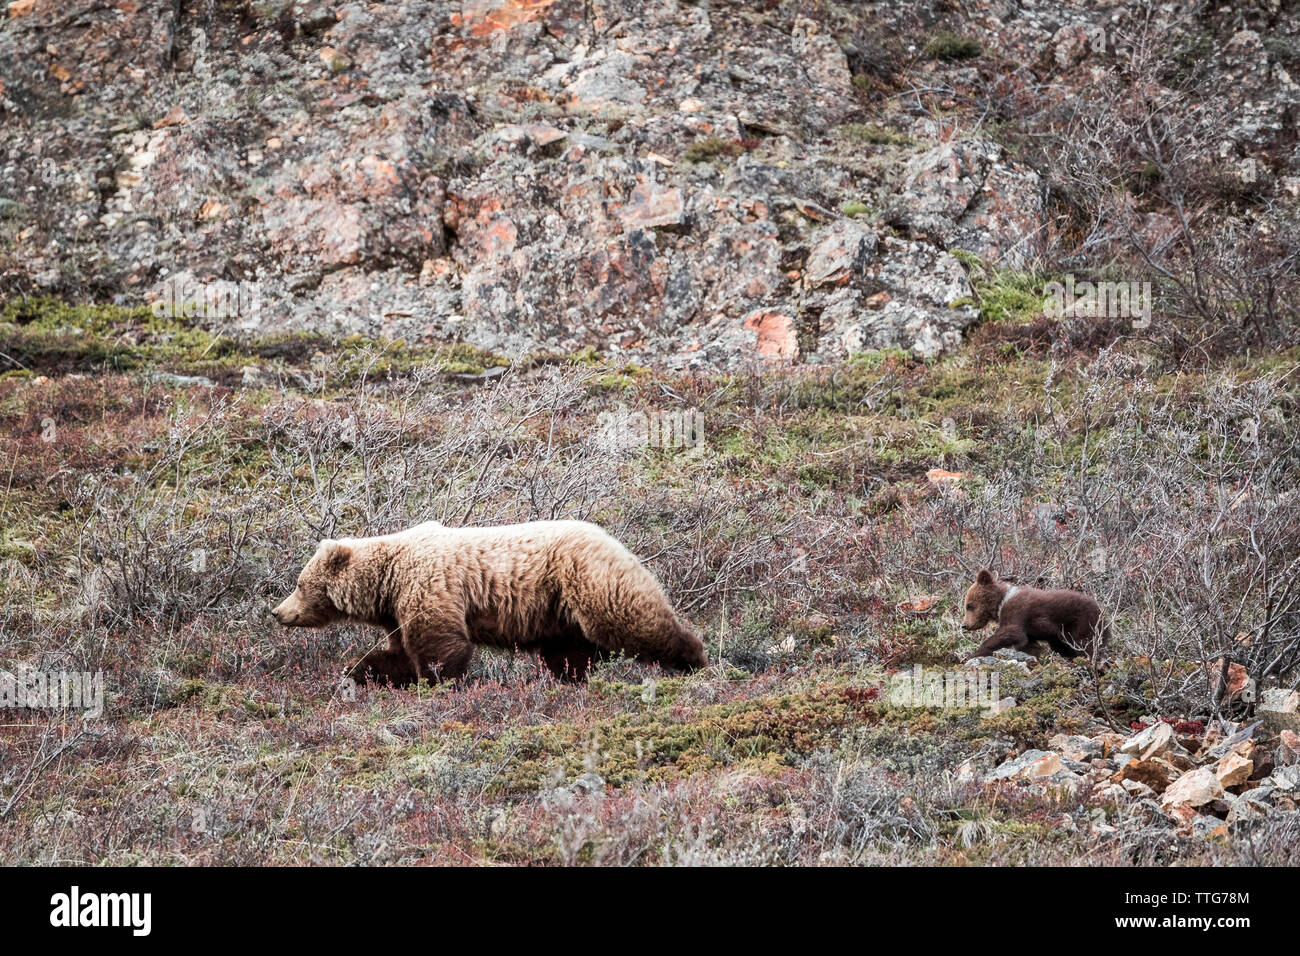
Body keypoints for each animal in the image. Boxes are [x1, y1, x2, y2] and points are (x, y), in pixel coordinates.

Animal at [267, 520, 707, 686]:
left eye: (300, 584)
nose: (277, 612)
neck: (388, 581)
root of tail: (615, 540)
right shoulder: (397, 611)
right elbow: (398, 653)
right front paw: (360, 669)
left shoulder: (430, 587)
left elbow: (440, 645)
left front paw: (440, 680)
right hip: (558, 610)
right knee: (569, 651)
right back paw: (572, 677)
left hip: (586, 579)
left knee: (631, 619)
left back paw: (693, 659)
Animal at [956, 572, 1107, 660]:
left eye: (969, 605)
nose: (964, 625)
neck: (1001, 602)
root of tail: (1102, 611)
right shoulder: (1030, 631)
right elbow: (1029, 645)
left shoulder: (1017, 612)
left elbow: (1011, 632)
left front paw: (972, 654)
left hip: (1082, 621)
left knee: (1085, 643)